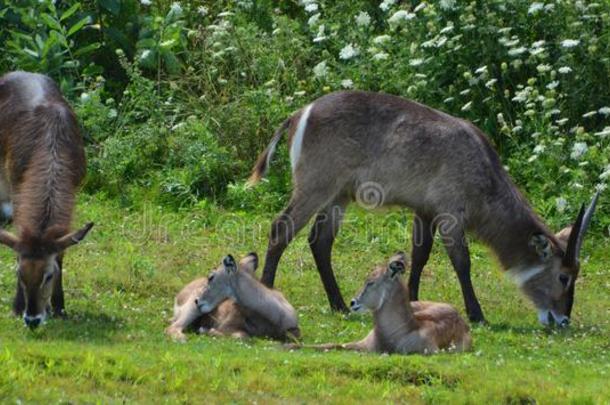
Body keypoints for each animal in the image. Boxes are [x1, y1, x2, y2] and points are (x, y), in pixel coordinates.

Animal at [0, 71, 92, 326]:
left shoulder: (73, 191)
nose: (32, 318)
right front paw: (16, 306)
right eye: (19, 273)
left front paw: (59, 306)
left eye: (49, 275)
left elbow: (61, 250)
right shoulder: (17, 187)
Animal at [166, 252, 300, 340]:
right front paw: (207, 330)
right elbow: (241, 335)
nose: (197, 301)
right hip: (192, 311)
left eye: (211, 277)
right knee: (172, 327)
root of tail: (179, 296)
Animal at [247, 89, 600, 326]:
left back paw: (339, 306)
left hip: (339, 195)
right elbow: (461, 262)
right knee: (281, 228)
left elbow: (419, 256)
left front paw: (414, 301)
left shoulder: (424, 210)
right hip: (316, 186)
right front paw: (477, 314)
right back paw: (268, 290)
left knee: (319, 241)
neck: (485, 171)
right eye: (564, 277)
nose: (562, 320)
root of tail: (300, 113)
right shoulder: (450, 212)